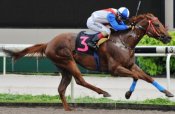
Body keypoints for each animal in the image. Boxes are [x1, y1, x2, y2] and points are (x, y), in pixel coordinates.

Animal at [2, 13, 174, 110]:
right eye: (157, 24)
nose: (168, 37)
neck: (123, 41)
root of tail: (48, 43)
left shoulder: (130, 65)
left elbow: (147, 77)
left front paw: (167, 92)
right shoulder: (115, 69)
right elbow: (137, 77)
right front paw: (127, 94)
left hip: (64, 68)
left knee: (61, 88)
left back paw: (69, 109)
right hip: (68, 61)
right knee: (80, 80)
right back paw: (103, 92)